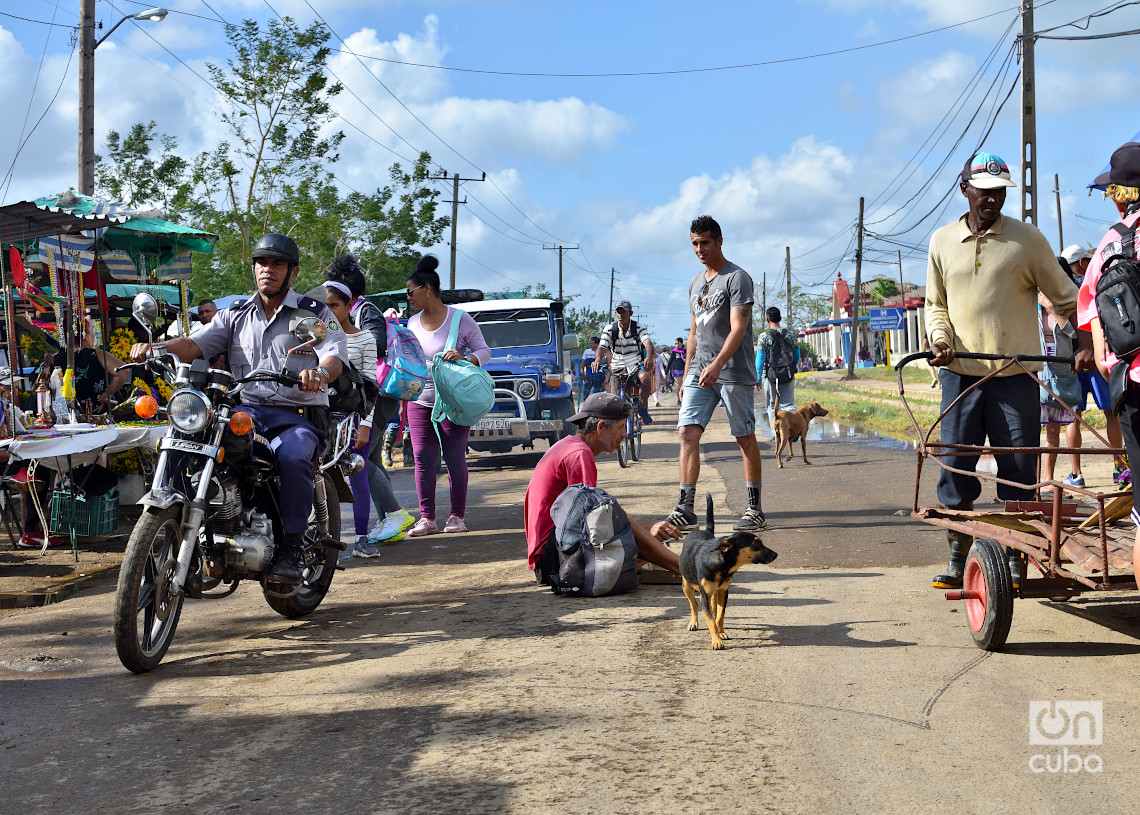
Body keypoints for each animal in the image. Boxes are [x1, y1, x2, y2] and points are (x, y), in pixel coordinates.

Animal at [679, 494, 779, 647]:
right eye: (756, 543)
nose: (775, 554)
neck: (722, 565)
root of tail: (704, 531)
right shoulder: (705, 597)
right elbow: (710, 619)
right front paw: (716, 641)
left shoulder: (723, 592)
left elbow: (719, 616)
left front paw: (721, 633)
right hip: (687, 586)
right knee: (693, 604)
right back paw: (693, 623)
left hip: (713, 593)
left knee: (713, 610)